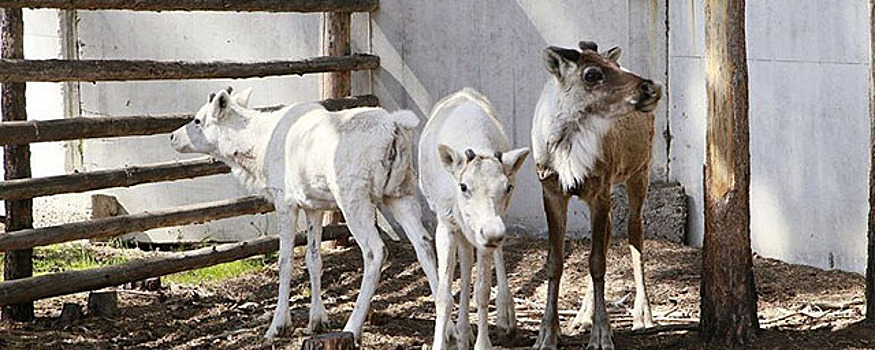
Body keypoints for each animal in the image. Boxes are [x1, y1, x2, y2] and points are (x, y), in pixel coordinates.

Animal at [170, 87, 442, 342]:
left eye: (198, 120)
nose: (172, 136)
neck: (255, 152)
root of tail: (395, 127)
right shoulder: (314, 206)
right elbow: (313, 259)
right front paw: (317, 321)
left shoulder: (285, 201)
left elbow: (286, 260)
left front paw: (278, 325)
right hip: (400, 192)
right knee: (424, 242)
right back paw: (445, 321)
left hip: (354, 197)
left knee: (376, 251)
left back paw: (353, 327)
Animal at [420, 89, 532, 348]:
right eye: (463, 186)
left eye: (508, 186)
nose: (493, 233)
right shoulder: (446, 223)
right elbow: (444, 295)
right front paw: (441, 342)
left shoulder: (486, 231)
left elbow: (482, 290)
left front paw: (483, 343)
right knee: (465, 260)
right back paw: (462, 333)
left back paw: (504, 316)